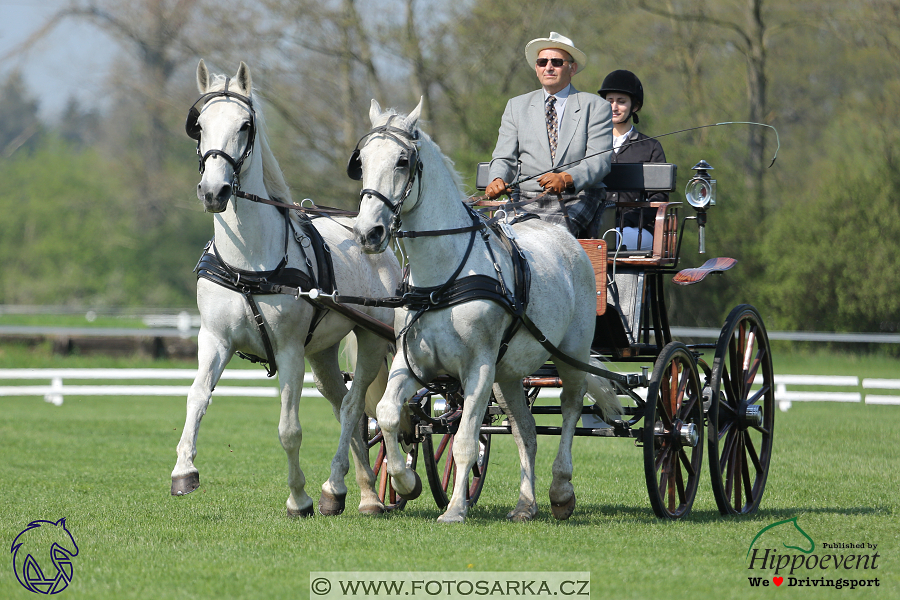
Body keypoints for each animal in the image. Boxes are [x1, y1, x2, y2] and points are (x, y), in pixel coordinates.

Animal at [172, 62, 400, 520]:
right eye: (199, 125)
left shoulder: (290, 350)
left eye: (245, 125)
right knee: (343, 405)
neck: (249, 263)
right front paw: (184, 470)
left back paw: (365, 484)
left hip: (369, 340)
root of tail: (372, 239)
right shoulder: (214, 339)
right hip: (323, 355)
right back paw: (360, 491)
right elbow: (197, 397)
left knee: (358, 407)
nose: (214, 191)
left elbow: (289, 430)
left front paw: (299, 498)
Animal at [354, 98, 620, 520]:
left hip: (571, 353)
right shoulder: (412, 363)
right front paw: (405, 482)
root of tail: (565, 237)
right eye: (361, 161)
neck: (442, 279)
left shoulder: (478, 367)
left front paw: (454, 510)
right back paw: (525, 505)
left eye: (402, 161)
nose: (368, 233)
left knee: (571, 407)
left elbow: (466, 440)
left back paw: (561, 491)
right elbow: (388, 413)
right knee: (526, 431)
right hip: (508, 375)